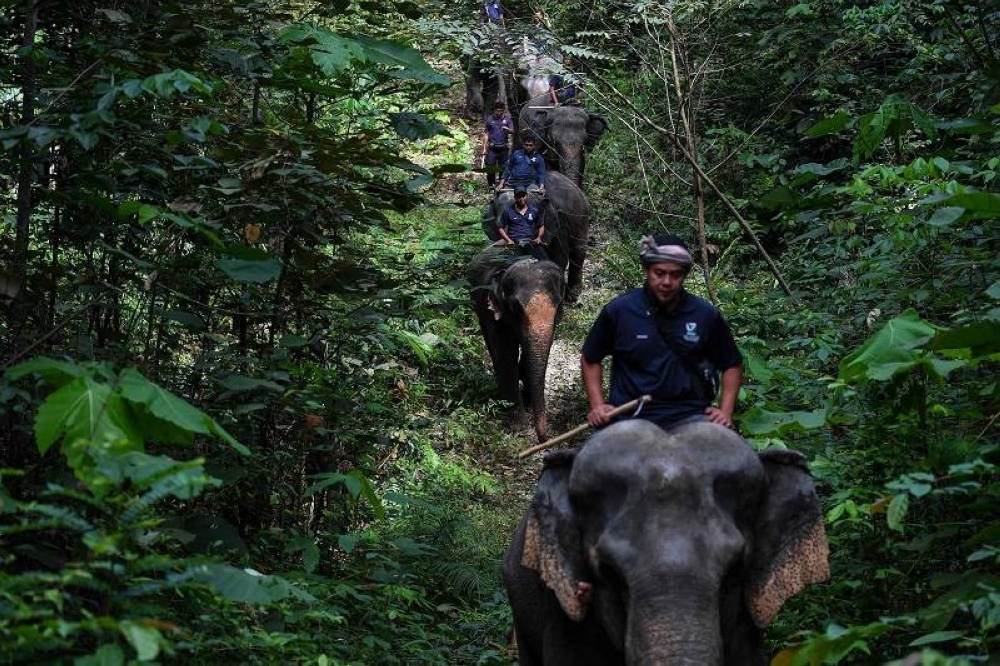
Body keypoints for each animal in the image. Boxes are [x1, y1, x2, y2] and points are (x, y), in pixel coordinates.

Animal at [467, 248, 565, 442]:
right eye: (515, 307)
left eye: (559, 305)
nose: (544, 439)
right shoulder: (493, 310)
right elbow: (505, 353)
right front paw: (518, 426)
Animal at [482, 171, 590, 301]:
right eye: (500, 226)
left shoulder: (559, 223)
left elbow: (558, 258)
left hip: (580, 214)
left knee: (578, 251)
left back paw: (573, 296)